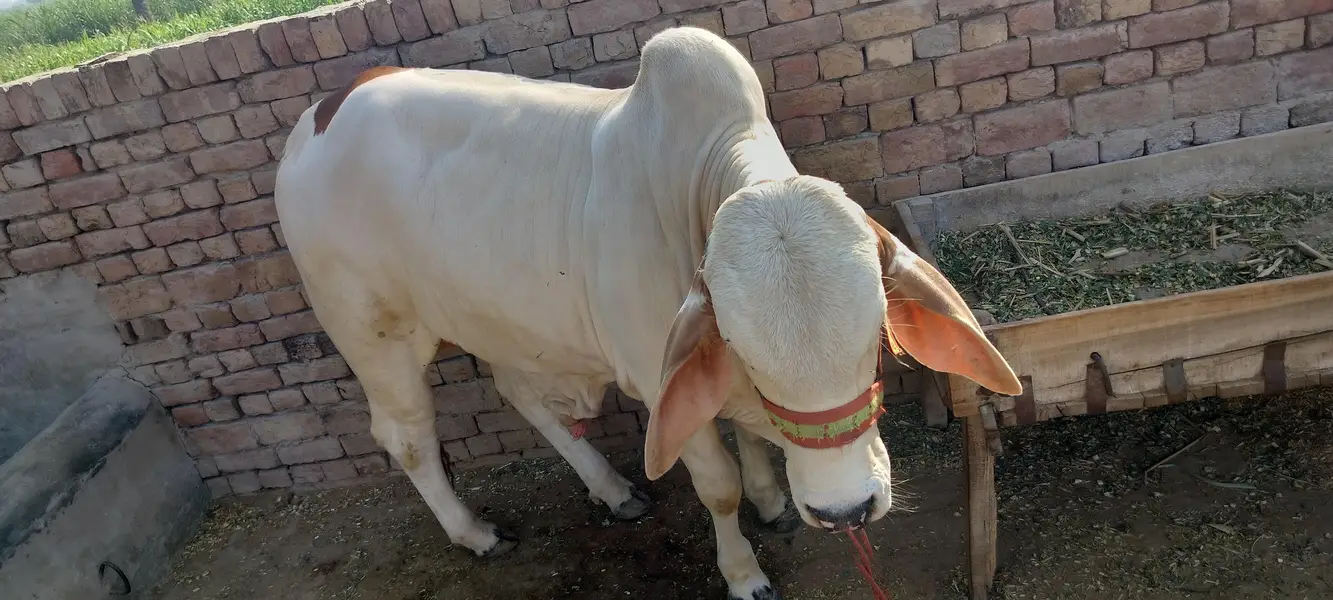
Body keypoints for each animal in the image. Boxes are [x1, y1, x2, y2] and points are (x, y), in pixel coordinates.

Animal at [274, 25, 1021, 599]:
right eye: (744, 349)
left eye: (875, 336)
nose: (846, 510)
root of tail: (319, 113)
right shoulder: (664, 384)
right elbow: (718, 487)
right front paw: (744, 573)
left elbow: (752, 441)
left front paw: (772, 502)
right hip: (374, 332)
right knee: (405, 436)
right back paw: (475, 533)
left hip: (501, 318)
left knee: (519, 392)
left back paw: (612, 490)